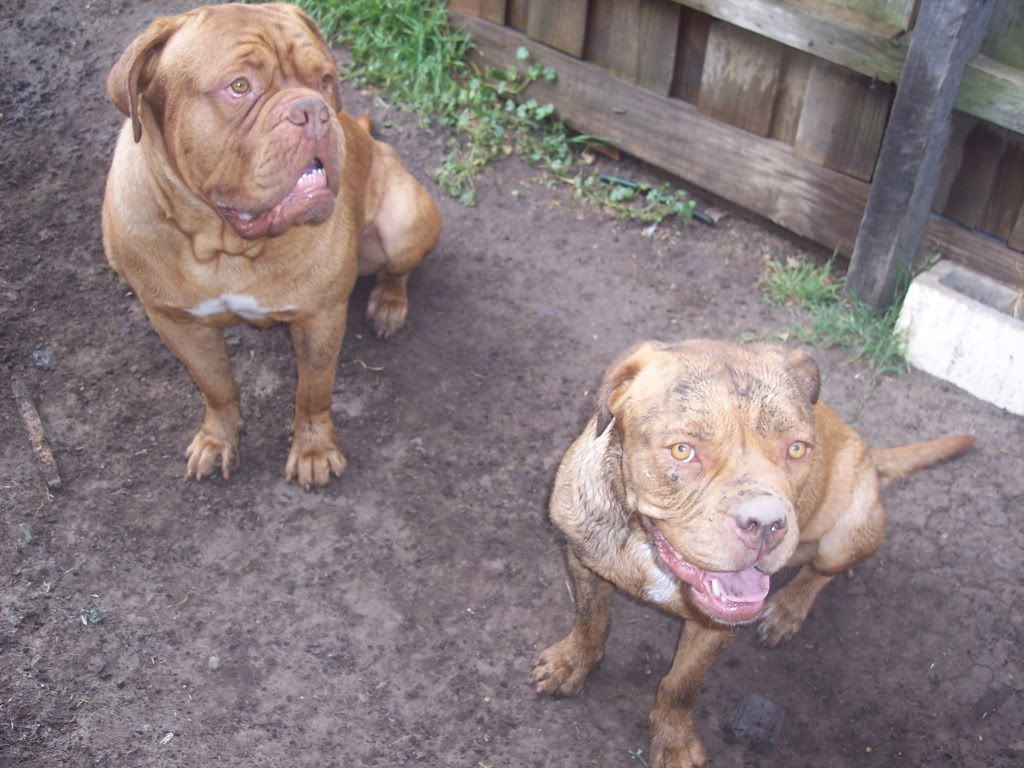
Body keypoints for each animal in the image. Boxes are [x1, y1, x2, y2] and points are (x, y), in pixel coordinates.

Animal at [99, 4, 440, 487]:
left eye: (325, 80)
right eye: (239, 86)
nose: (313, 110)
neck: (224, 244)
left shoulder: (320, 315)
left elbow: (313, 390)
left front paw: (314, 451)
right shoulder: (176, 321)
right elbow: (217, 386)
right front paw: (218, 440)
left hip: (404, 220)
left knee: (398, 269)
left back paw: (389, 305)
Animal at [536, 342, 974, 768]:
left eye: (796, 449)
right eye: (682, 450)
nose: (766, 523)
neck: (644, 542)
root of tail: (868, 448)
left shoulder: (716, 628)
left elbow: (681, 683)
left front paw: (673, 738)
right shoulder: (583, 559)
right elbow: (591, 620)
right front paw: (573, 662)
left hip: (849, 531)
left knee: (822, 571)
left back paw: (787, 609)